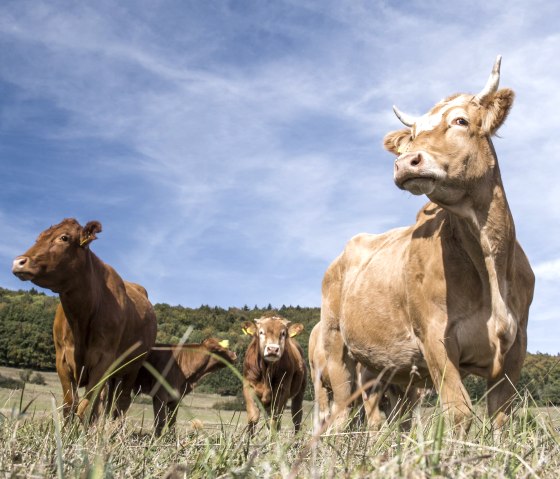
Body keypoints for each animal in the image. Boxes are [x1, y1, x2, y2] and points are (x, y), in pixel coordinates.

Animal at [13, 219, 158, 422]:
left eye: (64, 237)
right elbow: (70, 405)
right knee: (108, 403)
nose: (19, 262)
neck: (80, 319)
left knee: (121, 404)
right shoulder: (61, 358)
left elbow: (86, 407)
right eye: (38, 238)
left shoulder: (104, 360)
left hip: (132, 367)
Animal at [320, 57, 532, 432]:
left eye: (460, 121)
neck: (490, 264)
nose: (406, 162)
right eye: (414, 136)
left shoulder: (516, 344)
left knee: (385, 420)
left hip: (383, 367)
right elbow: (459, 412)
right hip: (336, 346)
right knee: (342, 415)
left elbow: (500, 418)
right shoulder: (435, 337)